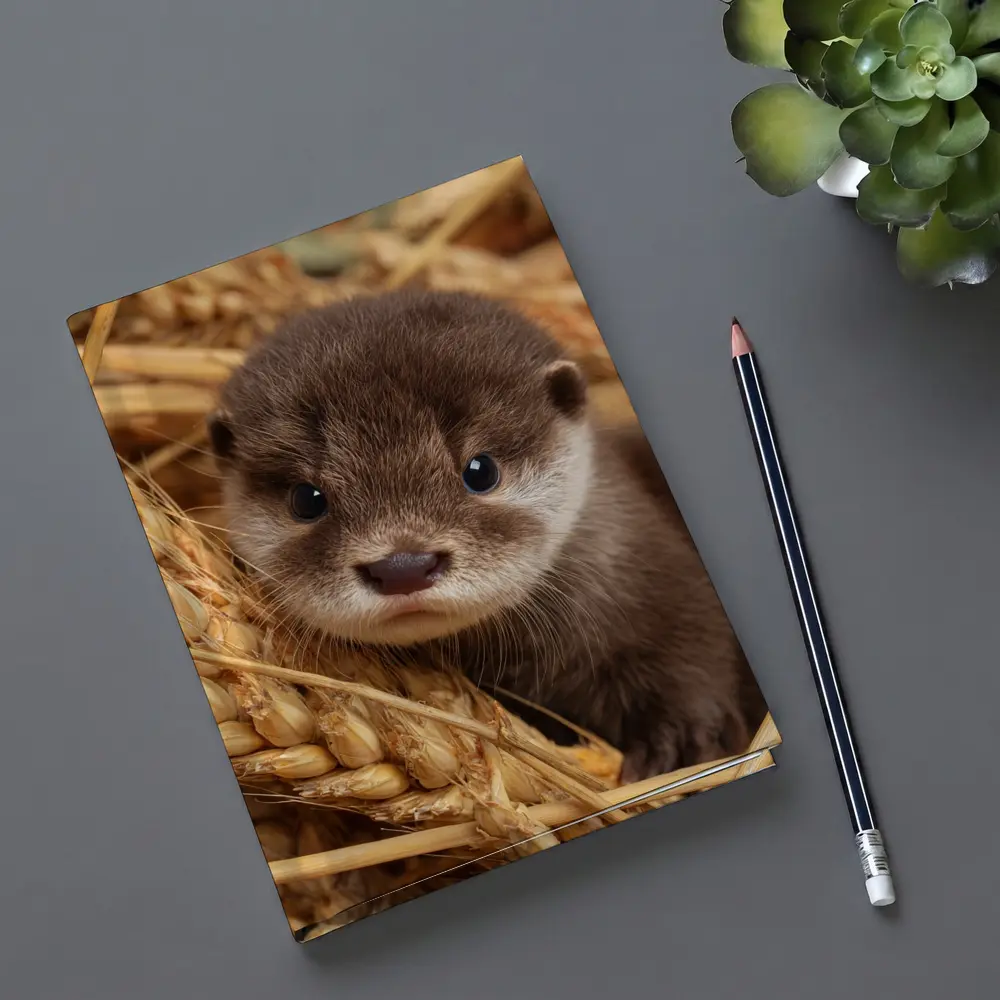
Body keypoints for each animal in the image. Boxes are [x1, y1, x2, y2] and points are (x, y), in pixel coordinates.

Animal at [208, 290, 765, 781]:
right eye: (307, 499)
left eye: (481, 470)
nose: (403, 566)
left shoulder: (660, 581)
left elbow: (693, 647)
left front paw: (684, 739)